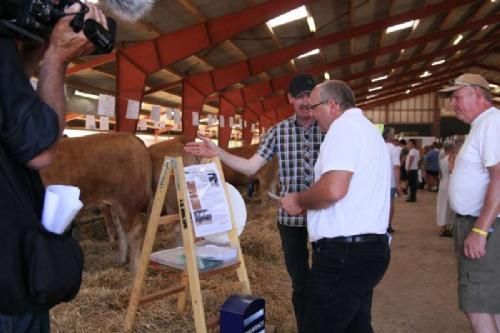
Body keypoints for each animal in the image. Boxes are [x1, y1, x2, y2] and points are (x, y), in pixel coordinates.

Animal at [41, 131, 151, 272]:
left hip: (127, 203)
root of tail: (130, 137)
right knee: (121, 230)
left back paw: (135, 268)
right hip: (115, 205)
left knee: (135, 233)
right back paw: (120, 260)